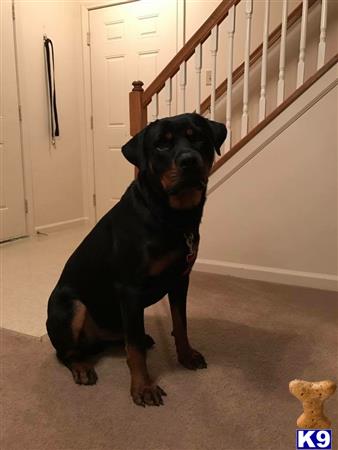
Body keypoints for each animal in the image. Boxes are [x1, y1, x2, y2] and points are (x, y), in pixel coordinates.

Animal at [46, 111, 227, 404]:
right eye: (161, 145)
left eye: (198, 137)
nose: (189, 160)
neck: (171, 216)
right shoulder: (129, 289)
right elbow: (134, 350)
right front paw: (143, 387)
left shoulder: (180, 279)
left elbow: (181, 324)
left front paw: (186, 356)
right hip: (71, 306)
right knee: (66, 352)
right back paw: (82, 366)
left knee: (122, 336)